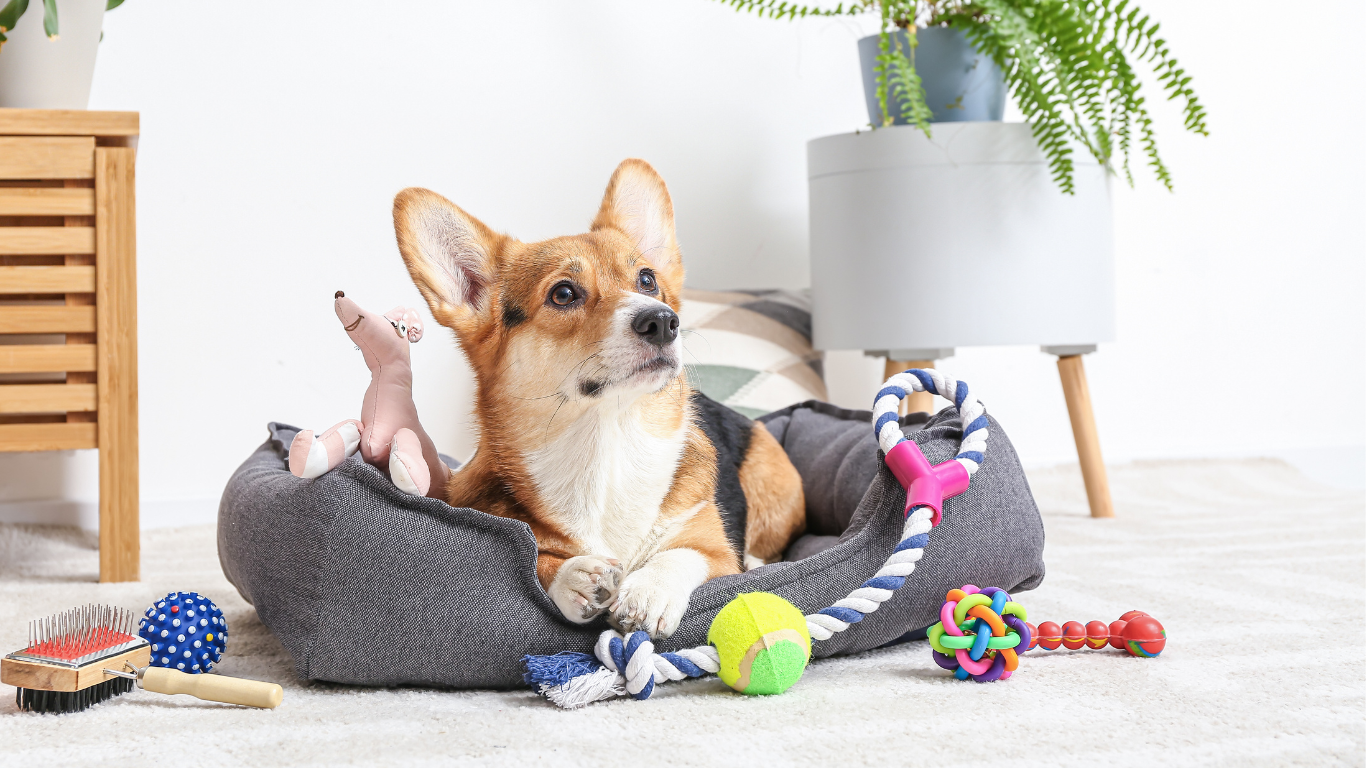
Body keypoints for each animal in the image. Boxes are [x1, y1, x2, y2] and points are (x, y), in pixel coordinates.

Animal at [390, 158, 803, 636]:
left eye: (647, 280)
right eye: (564, 293)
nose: (664, 321)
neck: (607, 445)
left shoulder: (716, 553)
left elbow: (681, 554)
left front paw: (649, 592)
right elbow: (537, 557)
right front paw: (574, 577)